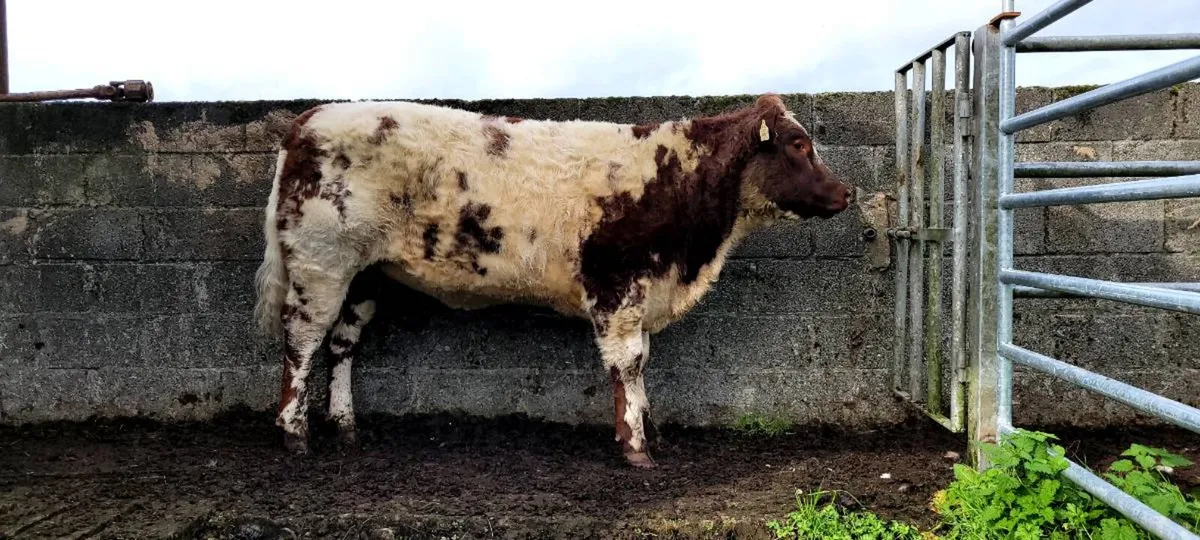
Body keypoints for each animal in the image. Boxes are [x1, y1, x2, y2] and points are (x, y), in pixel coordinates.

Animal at [252, 93, 852, 468]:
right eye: (798, 145)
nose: (845, 192)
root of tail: (307, 120)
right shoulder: (617, 286)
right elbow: (626, 364)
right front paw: (635, 444)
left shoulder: (642, 292)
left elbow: (642, 362)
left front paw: (646, 425)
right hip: (320, 264)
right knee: (302, 342)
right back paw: (294, 433)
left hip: (367, 276)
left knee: (343, 344)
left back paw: (346, 426)